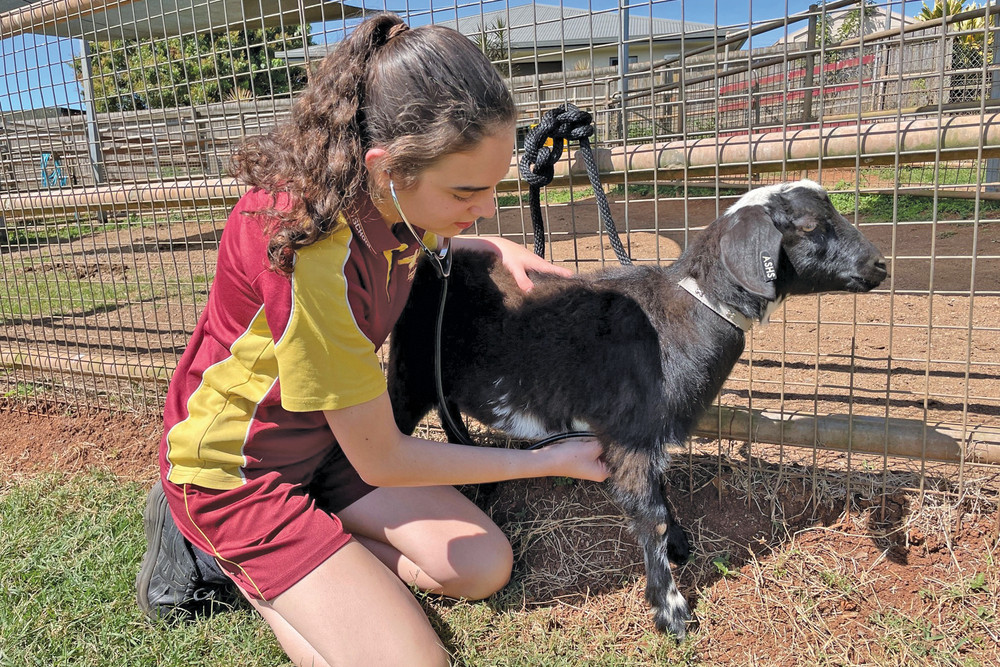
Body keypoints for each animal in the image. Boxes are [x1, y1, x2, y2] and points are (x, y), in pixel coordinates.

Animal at [386, 180, 888, 640]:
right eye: (810, 226)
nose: (880, 265)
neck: (691, 314)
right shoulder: (631, 436)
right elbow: (651, 515)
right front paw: (671, 612)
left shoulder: (654, 436)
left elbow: (662, 494)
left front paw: (680, 545)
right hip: (407, 372)